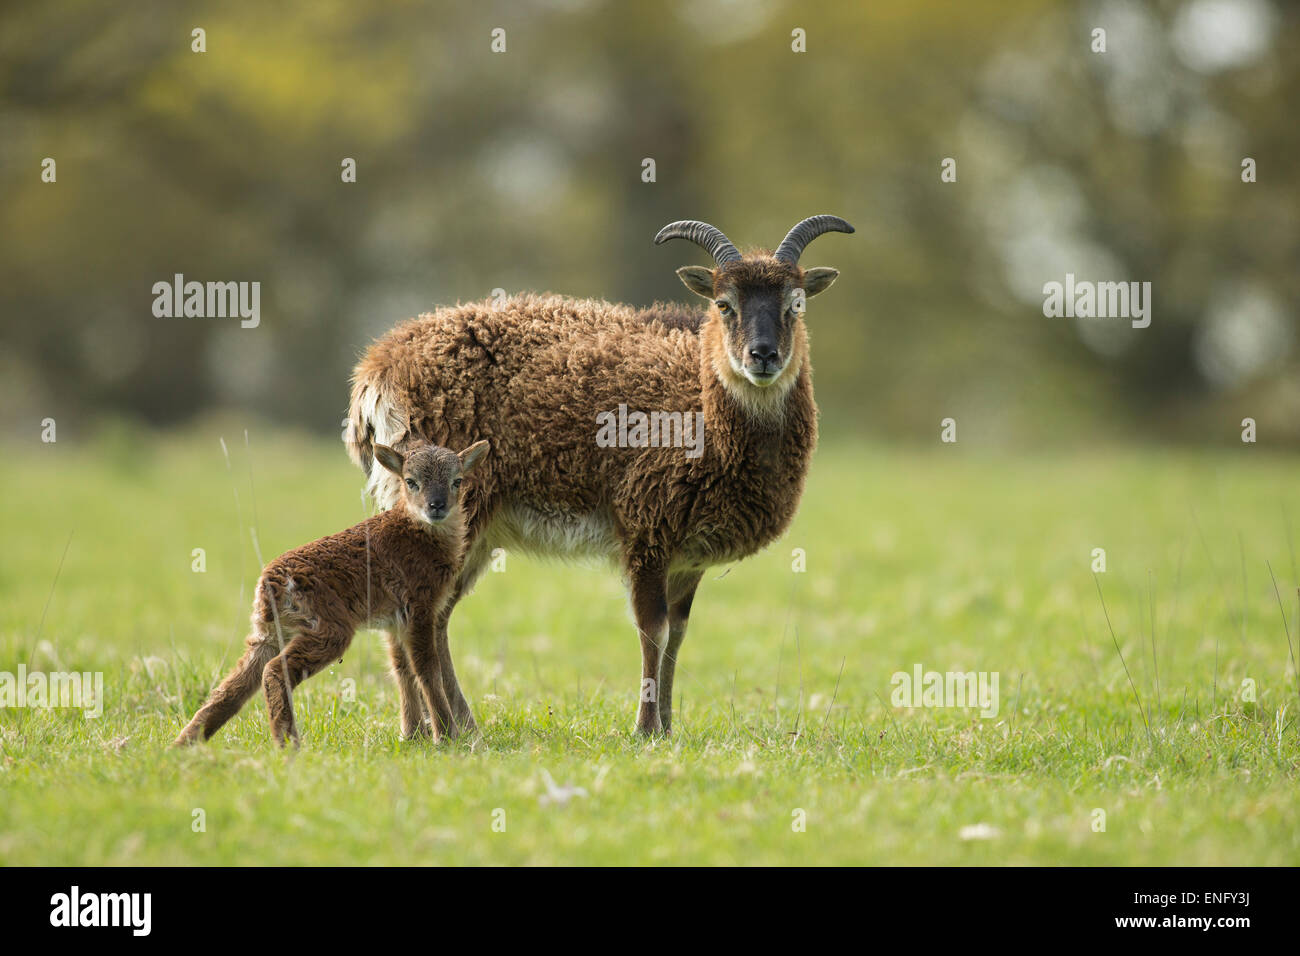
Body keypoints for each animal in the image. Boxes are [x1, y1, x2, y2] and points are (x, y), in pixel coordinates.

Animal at [172, 439, 488, 749]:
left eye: (457, 481)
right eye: (411, 481)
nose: (437, 506)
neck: (419, 531)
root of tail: (270, 585)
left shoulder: (395, 621)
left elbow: (402, 669)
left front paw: (412, 736)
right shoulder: (420, 606)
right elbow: (427, 669)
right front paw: (446, 737)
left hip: (268, 634)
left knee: (231, 689)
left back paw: (183, 744)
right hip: (328, 628)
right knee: (274, 671)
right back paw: (288, 745)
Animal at [345, 218, 852, 738]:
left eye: (796, 303)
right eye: (723, 304)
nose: (762, 355)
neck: (700, 410)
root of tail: (374, 375)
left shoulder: (688, 555)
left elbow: (679, 633)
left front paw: (668, 726)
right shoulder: (646, 528)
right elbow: (654, 629)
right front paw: (646, 728)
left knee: (435, 616)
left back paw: (456, 726)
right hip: (446, 509)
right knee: (416, 616)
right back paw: (424, 729)